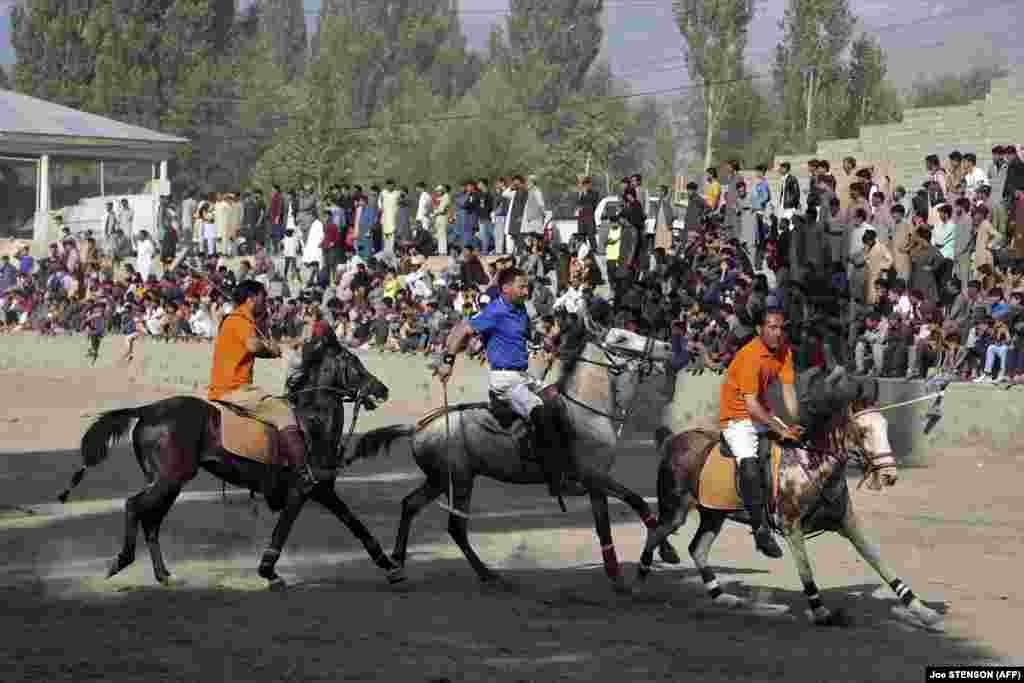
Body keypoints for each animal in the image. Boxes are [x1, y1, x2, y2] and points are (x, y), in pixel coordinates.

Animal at [57, 331, 403, 589]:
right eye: (355, 363)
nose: (383, 389)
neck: (312, 423)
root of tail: (148, 410)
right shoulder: (304, 490)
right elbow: (285, 531)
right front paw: (268, 571)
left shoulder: (322, 490)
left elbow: (356, 525)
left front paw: (389, 566)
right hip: (169, 479)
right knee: (134, 506)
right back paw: (122, 560)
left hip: (169, 482)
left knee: (151, 521)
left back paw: (163, 575)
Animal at [354, 325, 679, 593]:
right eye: (621, 338)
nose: (666, 346)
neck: (586, 410)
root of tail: (417, 427)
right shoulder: (594, 478)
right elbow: (620, 513)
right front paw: (621, 575)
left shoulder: (596, 481)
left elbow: (632, 506)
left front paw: (665, 551)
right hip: (459, 480)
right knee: (455, 527)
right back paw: (488, 575)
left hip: (439, 480)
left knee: (410, 505)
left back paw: (397, 562)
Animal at [638, 370, 942, 626]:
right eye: (863, 431)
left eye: (885, 426)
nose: (889, 474)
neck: (813, 462)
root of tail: (672, 441)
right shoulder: (791, 525)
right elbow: (805, 569)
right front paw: (820, 610)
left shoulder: (847, 522)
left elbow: (879, 561)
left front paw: (921, 609)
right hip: (676, 509)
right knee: (656, 531)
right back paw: (638, 582)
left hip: (714, 513)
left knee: (697, 548)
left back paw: (722, 596)